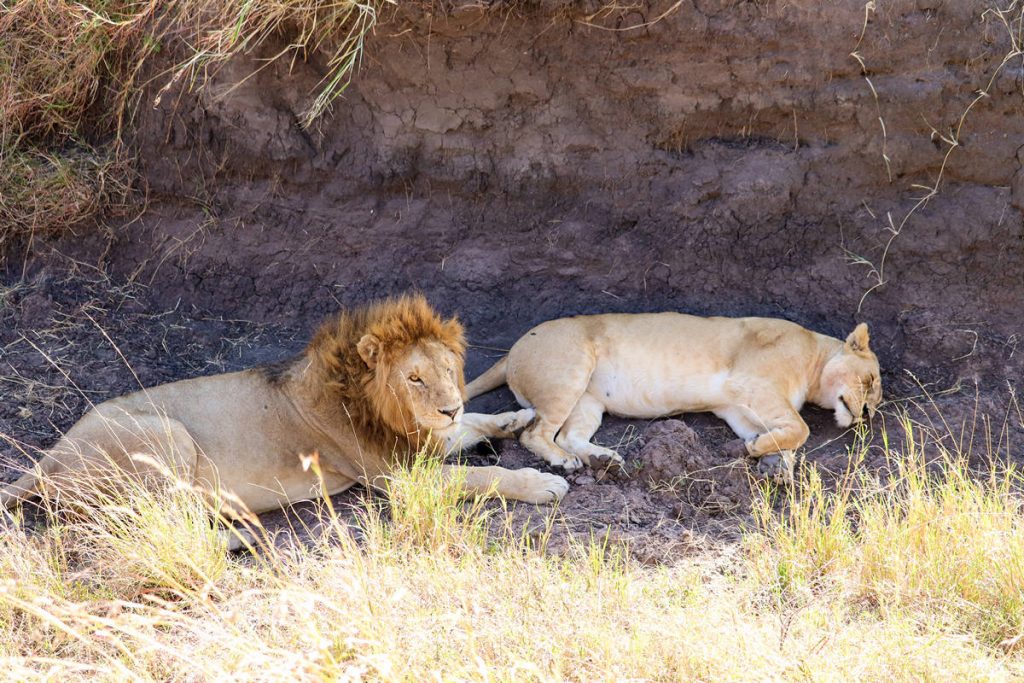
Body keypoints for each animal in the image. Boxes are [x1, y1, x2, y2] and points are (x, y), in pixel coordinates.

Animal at [0, 296, 569, 540]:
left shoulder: (419, 441)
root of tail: (50, 457)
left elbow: (471, 428)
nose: (449, 404)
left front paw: (515, 418)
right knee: (162, 532)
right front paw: (541, 483)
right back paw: (244, 537)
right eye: (414, 378)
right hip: (167, 436)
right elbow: (482, 476)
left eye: (449, 368)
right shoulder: (397, 476)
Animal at [464, 313, 880, 483]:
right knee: (534, 434)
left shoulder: (736, 408)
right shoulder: (752, 384)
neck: (816, 356)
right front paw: (765, 452)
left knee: (568, 434)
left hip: (588, 400)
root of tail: (511, 350)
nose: (869, 415)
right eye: (872, 381)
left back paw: (603, 459)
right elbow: (801, 427)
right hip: (570, 369)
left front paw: (774, 462)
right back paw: (564, 462)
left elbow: (784, 437)